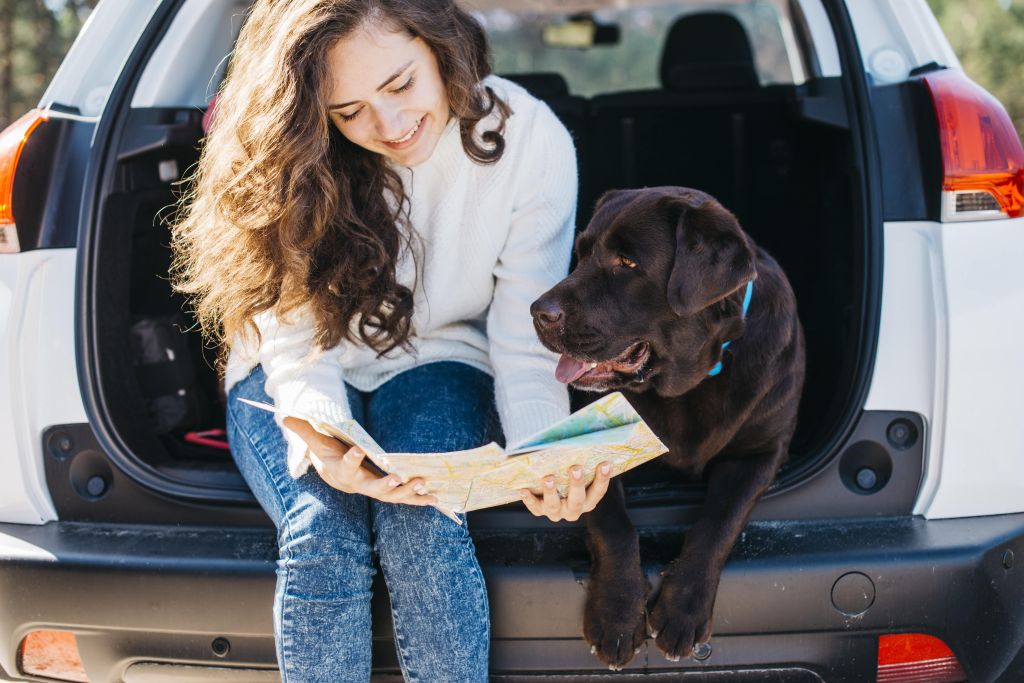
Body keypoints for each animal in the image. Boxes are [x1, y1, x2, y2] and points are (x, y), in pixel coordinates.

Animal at [532, 185, 802, 667]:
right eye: (581, 254)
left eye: (627, 263)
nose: (538, 312)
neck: (689, 382)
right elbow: (614, 526)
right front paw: (617, 616)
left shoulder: (761, 451)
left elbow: (719, 522)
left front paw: (682, 610)